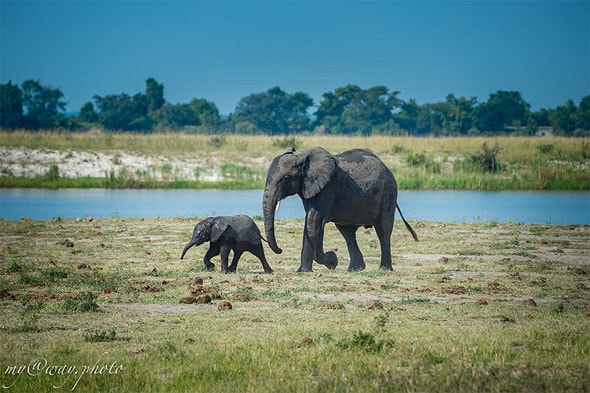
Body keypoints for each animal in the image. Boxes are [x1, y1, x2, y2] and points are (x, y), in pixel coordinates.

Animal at [264, 145, 420, 272]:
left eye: (286, 178)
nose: (281, 249)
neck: (303, 156)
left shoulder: (327, 187)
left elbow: (313, 220)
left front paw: (307, 270)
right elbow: (314, 222)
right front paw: (331, 261)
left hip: (389, 191)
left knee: (383, 230)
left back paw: (384, 269)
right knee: (347, 233)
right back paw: (355, 269)